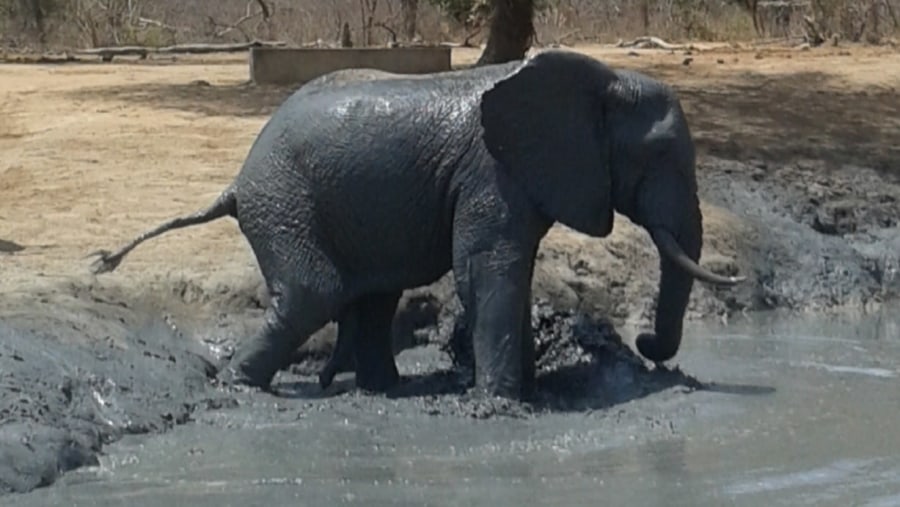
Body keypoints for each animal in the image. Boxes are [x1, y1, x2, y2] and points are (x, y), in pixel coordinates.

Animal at [88, 49, 740, 402]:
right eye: (659, 156)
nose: (647, 345)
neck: (600, 76)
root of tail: (235, 182)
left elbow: (510, 273)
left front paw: (523, 393)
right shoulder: (490, 171)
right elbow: (487, 271)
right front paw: (502, 405)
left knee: (373, 296)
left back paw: (382, 388)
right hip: (285, 203)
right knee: (314, 293)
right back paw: (238, 387)